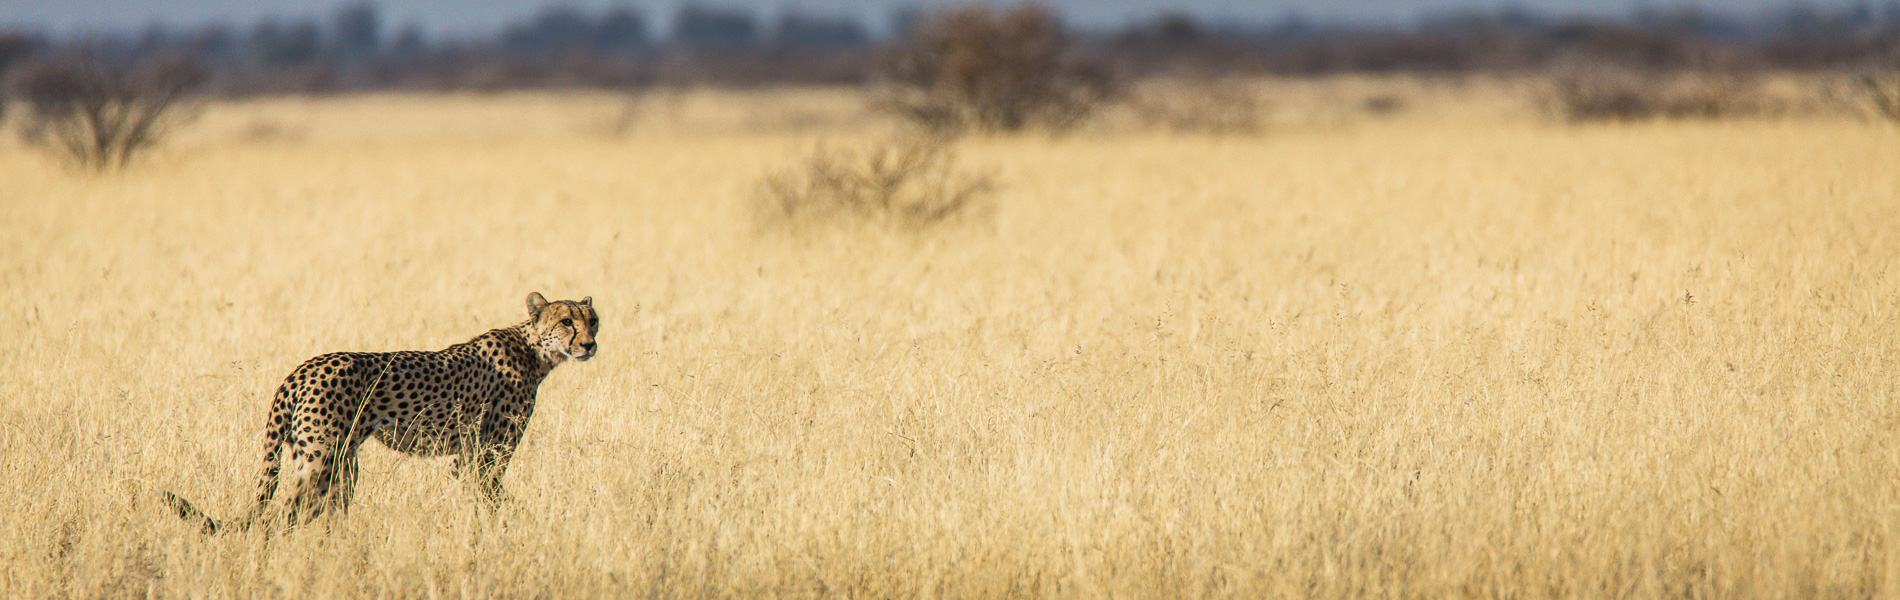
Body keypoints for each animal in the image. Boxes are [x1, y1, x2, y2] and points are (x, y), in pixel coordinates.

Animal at [160, 292, 599, 533]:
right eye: (566, 321)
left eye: (593, 320)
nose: (590, 345)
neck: (536, 351)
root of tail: (300, 369)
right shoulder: (486, 455)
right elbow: (494, 499)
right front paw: (516, 528)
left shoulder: (467, 457)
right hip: (320, 459)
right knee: (282, 514)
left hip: (338, 464)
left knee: (315, 512)